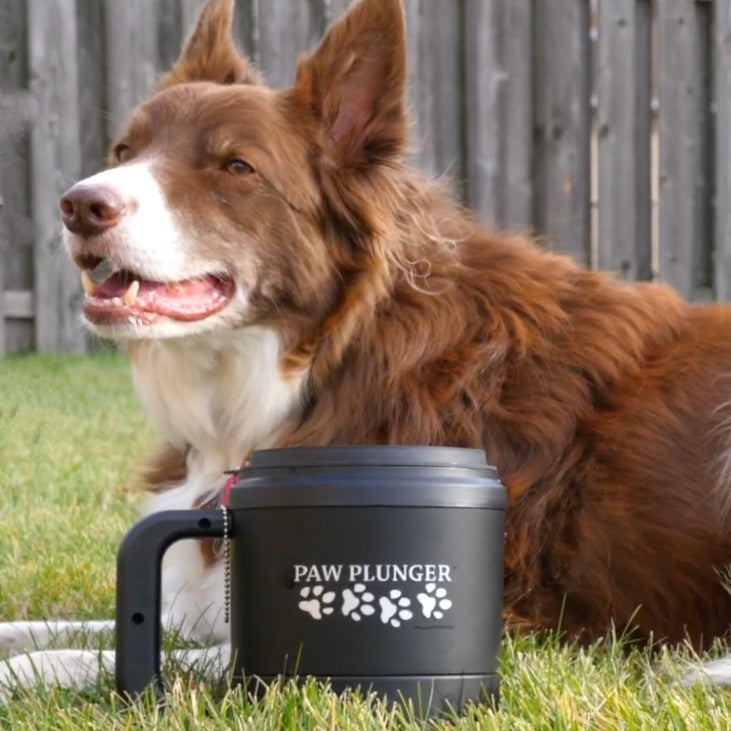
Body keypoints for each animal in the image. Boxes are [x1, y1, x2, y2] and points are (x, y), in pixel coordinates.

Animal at [1, 0, 731, 696]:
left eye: (236, 167)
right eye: (125, 151)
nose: (79, 205)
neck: (327, 359)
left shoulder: (521, 619)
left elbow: (101, 655)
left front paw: (32, 671)